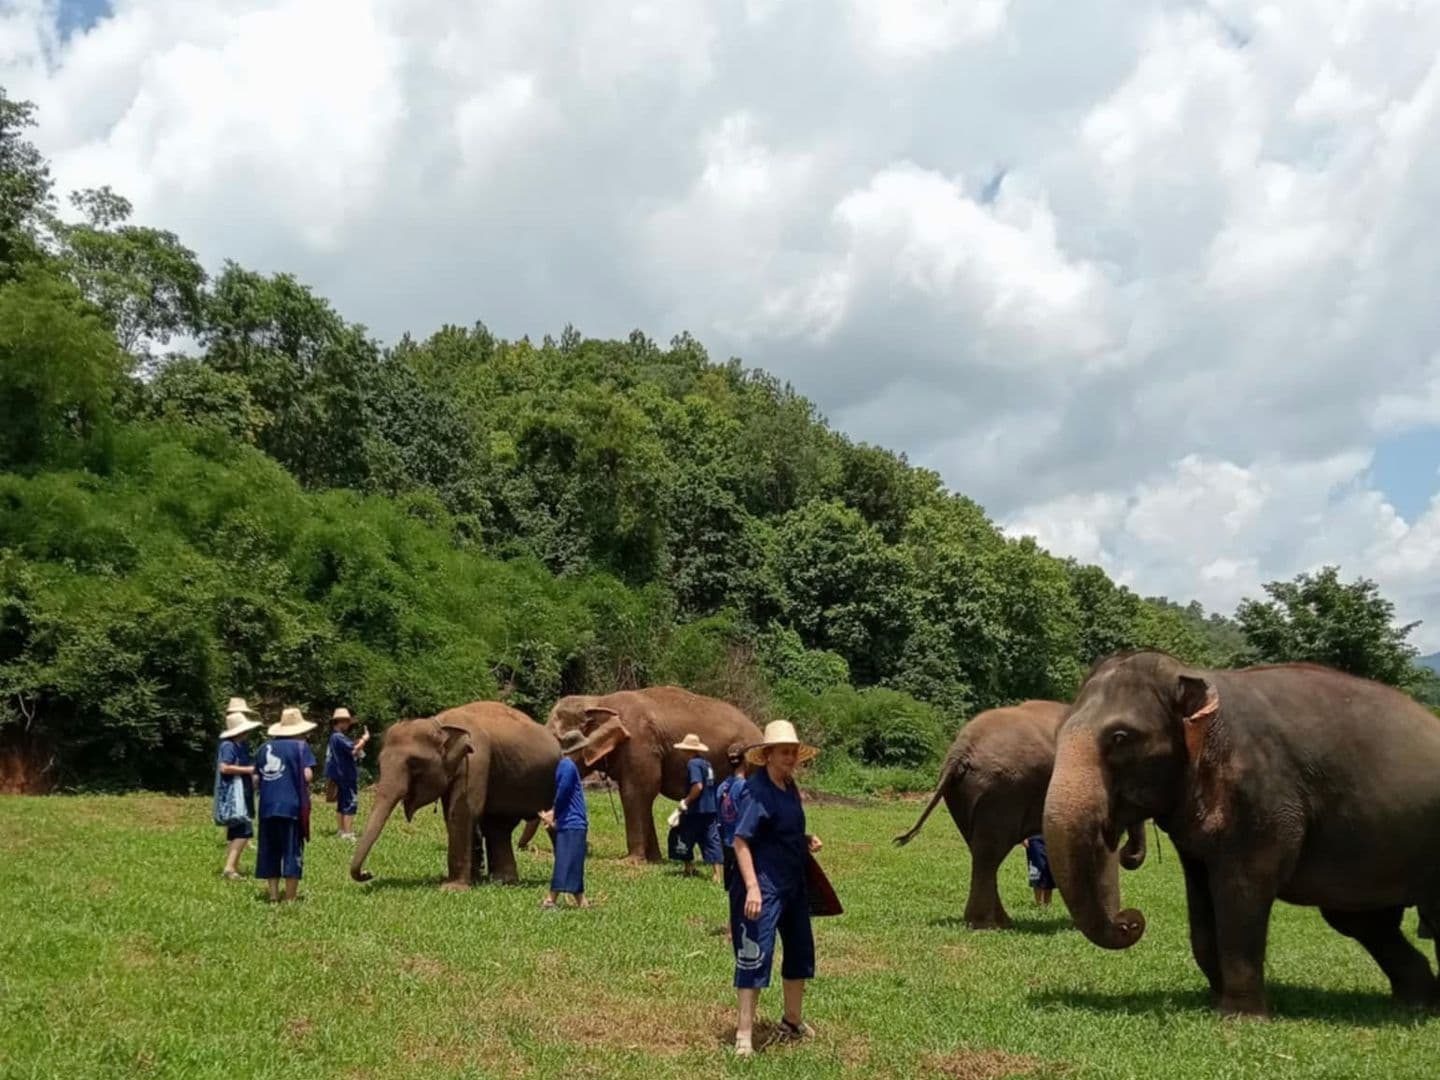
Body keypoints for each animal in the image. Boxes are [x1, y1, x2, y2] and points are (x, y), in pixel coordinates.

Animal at [349, 701, 560, 891]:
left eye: (414, 764)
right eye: (380, 763)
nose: (368, 873)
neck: (440, 725)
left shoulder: (475, 760)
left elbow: (462, 812)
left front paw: (451, 888)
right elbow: (453, 814)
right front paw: (471, 881)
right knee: (498, 827)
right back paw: (503, 881)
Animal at [546, 686, 763, 863]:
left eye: (565, 741)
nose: (586, 848)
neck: (599, 701)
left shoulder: (639, 744)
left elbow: (635, 793)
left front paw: (630, 861)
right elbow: (643, 796)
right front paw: (654, 860)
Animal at [893, 699, 1146, 929]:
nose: (1129, 855)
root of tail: (959, 754)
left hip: (966, 793)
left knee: (980, 851)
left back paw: (997, 922)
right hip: (1001, 791)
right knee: (988, 853)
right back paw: (989, 924)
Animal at [1043, 648, 1440, 1017]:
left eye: (1120, 737)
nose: (1130, 920)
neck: (1194, 677)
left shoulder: (1264, 798)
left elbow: (1244, 889)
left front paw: (1239, 1016)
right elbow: (1201, 899)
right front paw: (1216, 999)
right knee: (1362, 920)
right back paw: (1416, 1003)